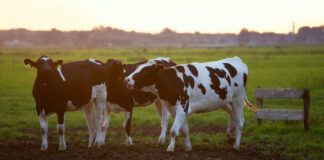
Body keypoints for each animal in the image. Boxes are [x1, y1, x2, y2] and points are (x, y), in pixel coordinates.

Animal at [124, 56, 258, 151]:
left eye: (145, 71)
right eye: (137, 68)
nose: (126, 80)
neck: (174, 81)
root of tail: (236, 60)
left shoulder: (182, 108)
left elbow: (174, 130)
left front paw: (170, 148)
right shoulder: (174, 109)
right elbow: (184, 130)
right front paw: (188, 147)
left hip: (238, 99)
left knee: (239, 122)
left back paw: (236, 145)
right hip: (224, 101)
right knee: (234, 116)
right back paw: (230, 136)